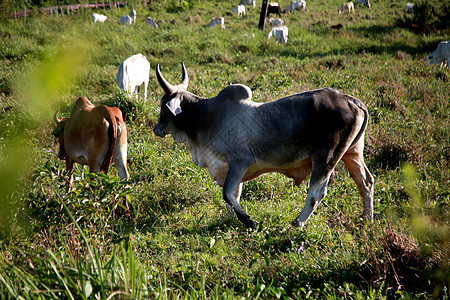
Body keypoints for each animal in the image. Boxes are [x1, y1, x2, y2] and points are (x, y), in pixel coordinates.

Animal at [153, 62, 374, 227]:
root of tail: (352, 100)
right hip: (352, 152)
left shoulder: (240, 161)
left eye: (163, 108)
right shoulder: (231, 168)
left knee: (317, 192)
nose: (156, 129)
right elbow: (234, 195)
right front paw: (229, 219)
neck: (207, 118)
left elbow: (228, 193)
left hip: (326, 156)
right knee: (365, 182)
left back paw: (298, 222)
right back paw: (367, 219)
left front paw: (248, 221)